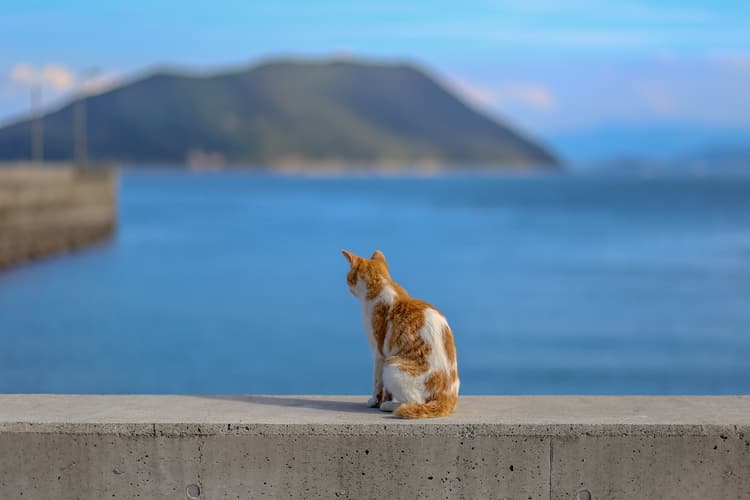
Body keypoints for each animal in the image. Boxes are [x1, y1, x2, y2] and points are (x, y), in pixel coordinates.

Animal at [346, 249, 462, 418]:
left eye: (348, 277)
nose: (347, 284)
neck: (383, 284)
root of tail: (447, 397)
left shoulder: (379, 354)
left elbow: (377, 382)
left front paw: (375, 402)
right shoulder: (384, 353)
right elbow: (386, 390)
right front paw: (385, 398)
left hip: (392, 366)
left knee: (415, 403)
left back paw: (389, 406)